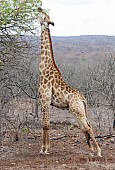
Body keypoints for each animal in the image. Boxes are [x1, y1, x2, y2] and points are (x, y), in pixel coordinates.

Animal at [38, 8, 101, 157]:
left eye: (44, 16)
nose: (38, 8)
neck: (43, 69)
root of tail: (83, 99)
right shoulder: (44, 101)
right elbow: (45, 124)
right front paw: (46, 148)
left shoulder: (45, 99)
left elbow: (46, 124)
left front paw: (44, 149)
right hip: (78, 110)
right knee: (86, 127)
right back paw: (91, 151)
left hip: (76, 111)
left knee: (88, 127)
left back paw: (98, 151)